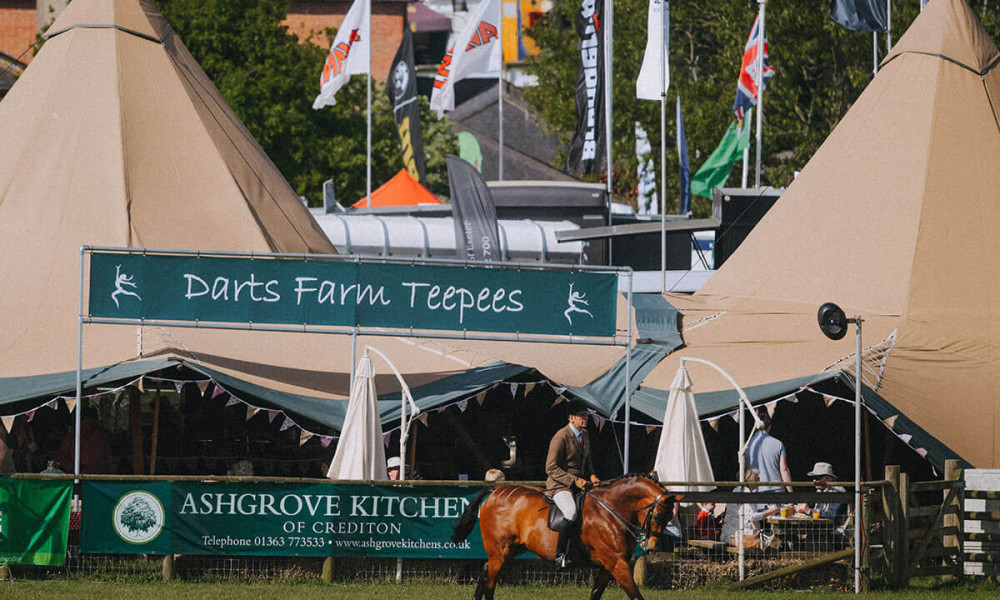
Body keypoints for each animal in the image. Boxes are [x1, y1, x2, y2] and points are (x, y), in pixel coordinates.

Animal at [454, 474, 680, 600]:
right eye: (658, 516)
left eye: (670, 517)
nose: (651, 548)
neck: (611, 511)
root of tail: (495, 491)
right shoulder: (617, 564)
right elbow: (636, 596)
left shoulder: (608, 567)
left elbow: (595, 595)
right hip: (499, 552)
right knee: (490, 582)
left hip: (509, 551)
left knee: (485, 574)